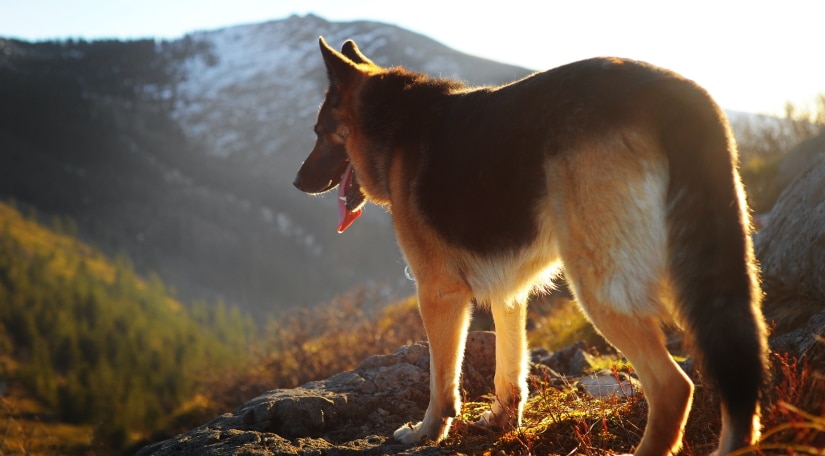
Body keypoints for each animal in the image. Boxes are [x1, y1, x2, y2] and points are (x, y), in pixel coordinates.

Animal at [292, 37, 768, 454]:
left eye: (318, 131)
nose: (297, 182)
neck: (392, 120)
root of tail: (679, 95)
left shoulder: (438, 292)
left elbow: (441, 379)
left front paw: (428, 431)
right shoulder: (510, 291)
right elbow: (509, 367)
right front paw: (502, 421)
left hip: (601, 284)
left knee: (673, 387)